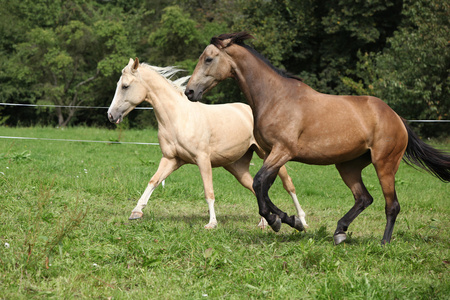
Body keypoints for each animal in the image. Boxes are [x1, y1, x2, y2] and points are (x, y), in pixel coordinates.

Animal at [107, 58, 308, 230]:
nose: (110, 115)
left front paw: (211, 223)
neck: (178, 118)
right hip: (237, 167)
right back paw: (265, 223)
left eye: (125, 86)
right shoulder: (171, 159)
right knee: (254, 187)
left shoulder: (202, 159)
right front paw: (136, 212)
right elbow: (153, 181)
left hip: (270, 155)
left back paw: (301, 221)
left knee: (288, 185)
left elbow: (208, 191)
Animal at [184, 32, 450, 244]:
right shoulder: (272, 153)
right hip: (348, 166)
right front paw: (288, 220)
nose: (189, 91)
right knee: (364, 198)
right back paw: (340, 232)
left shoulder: (283, 151)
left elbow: (259, 183)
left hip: (384, 163)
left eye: (208, 59)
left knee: (391, 205)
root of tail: (396, 118)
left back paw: (384, 243)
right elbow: (263, 188)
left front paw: (282, 220)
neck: (275, 97)